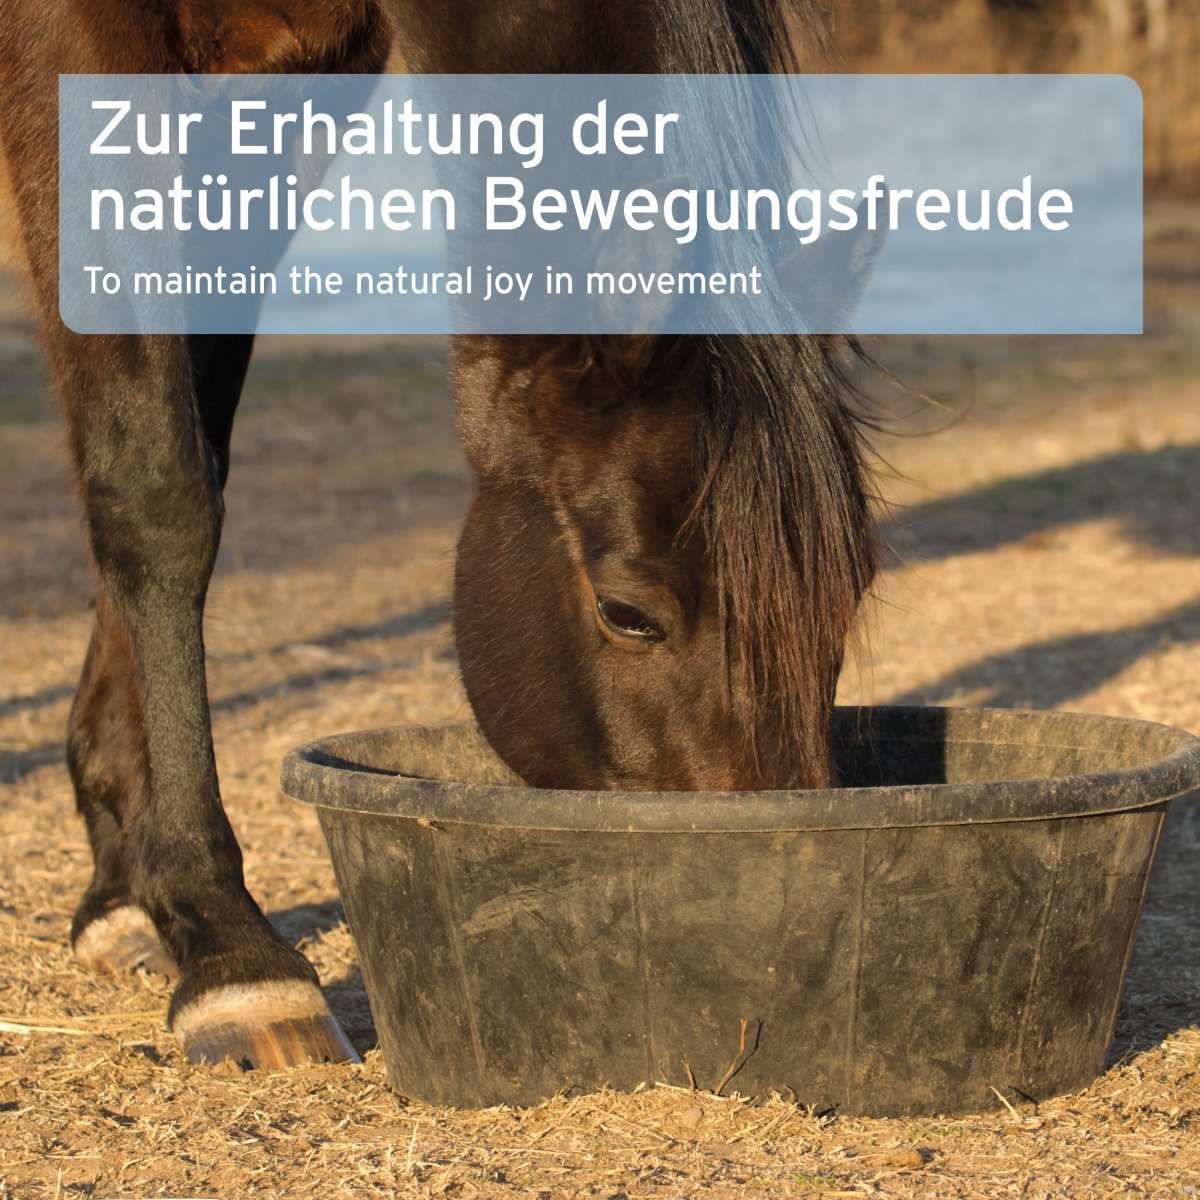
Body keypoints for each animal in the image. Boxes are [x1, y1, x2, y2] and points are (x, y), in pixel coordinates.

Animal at [0, 0, 879, 1071]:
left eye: (852, 592)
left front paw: (129, 887)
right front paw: (230, 950)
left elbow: (196, 438)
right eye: (628, 613)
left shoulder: (302, 75)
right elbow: (156, 484)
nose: (768, 908)